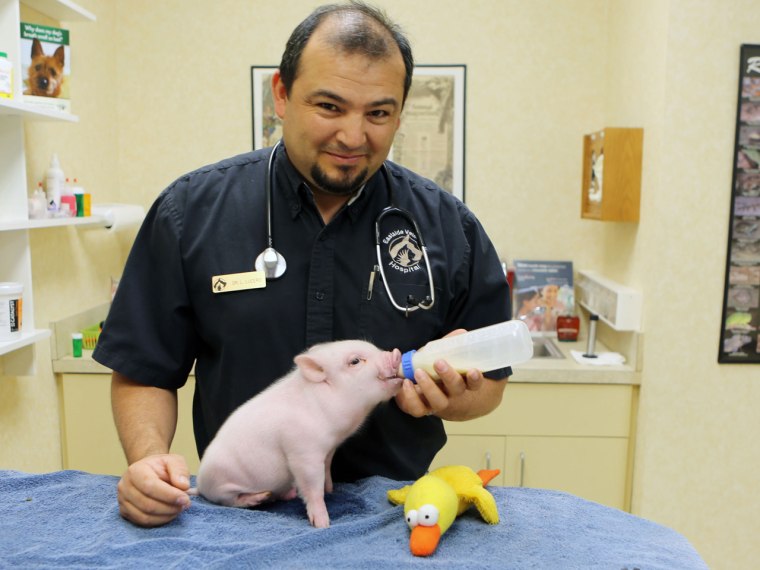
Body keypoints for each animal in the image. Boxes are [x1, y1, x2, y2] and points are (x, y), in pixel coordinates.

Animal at [193, 340, 404, 524]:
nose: (396, 353)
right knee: (230, 501)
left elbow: (327, 470)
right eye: (355, 361)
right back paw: (259, 497)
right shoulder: (302, 452)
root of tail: (200, 485)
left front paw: (330, 490)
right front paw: (323, 523)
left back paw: (288, 494)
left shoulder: (329, 449)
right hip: (222, 485)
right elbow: (312, 486)